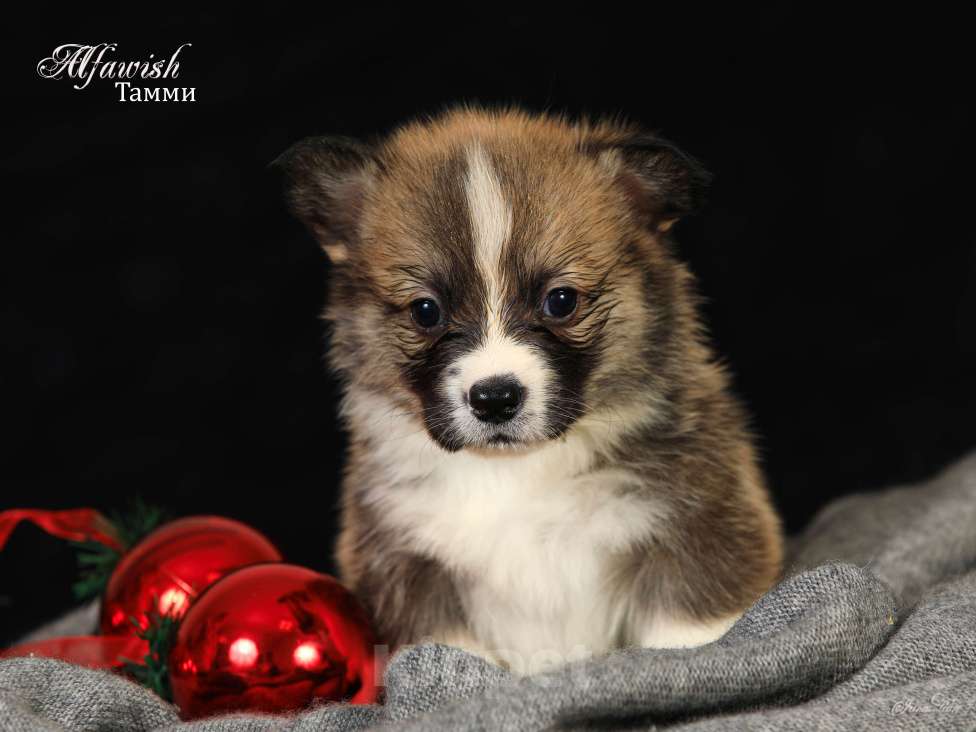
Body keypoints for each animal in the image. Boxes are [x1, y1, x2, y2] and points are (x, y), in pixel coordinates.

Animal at [276, 108, 784, 676]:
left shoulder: (695, 525)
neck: (518, 471)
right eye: (426, 311)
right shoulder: (412, 568)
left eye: (560, 301)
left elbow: (690, 636)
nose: (495, 398)